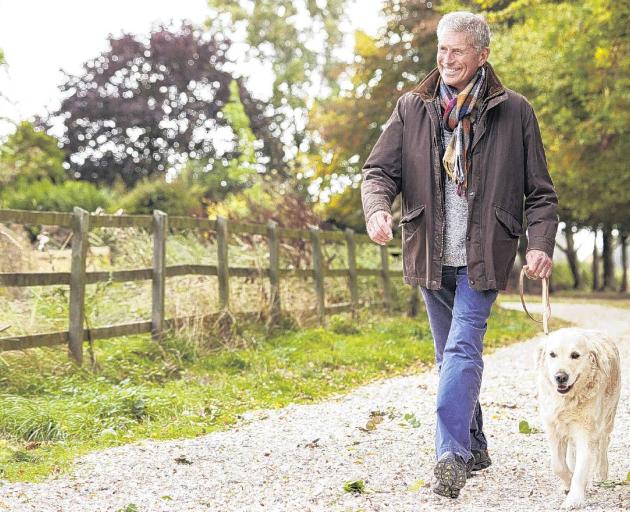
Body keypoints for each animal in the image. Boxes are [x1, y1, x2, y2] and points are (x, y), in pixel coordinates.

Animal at [536, 328, 624, 508]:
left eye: (575, 355)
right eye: (552, 354)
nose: (560, 377)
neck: (568, 399)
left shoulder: (586, 432)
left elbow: (581, 469)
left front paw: (574, 498)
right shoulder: (553, 429)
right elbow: (558, 466)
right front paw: (568, 482)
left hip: (607, 418)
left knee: (604, 443)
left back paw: (601, 472)